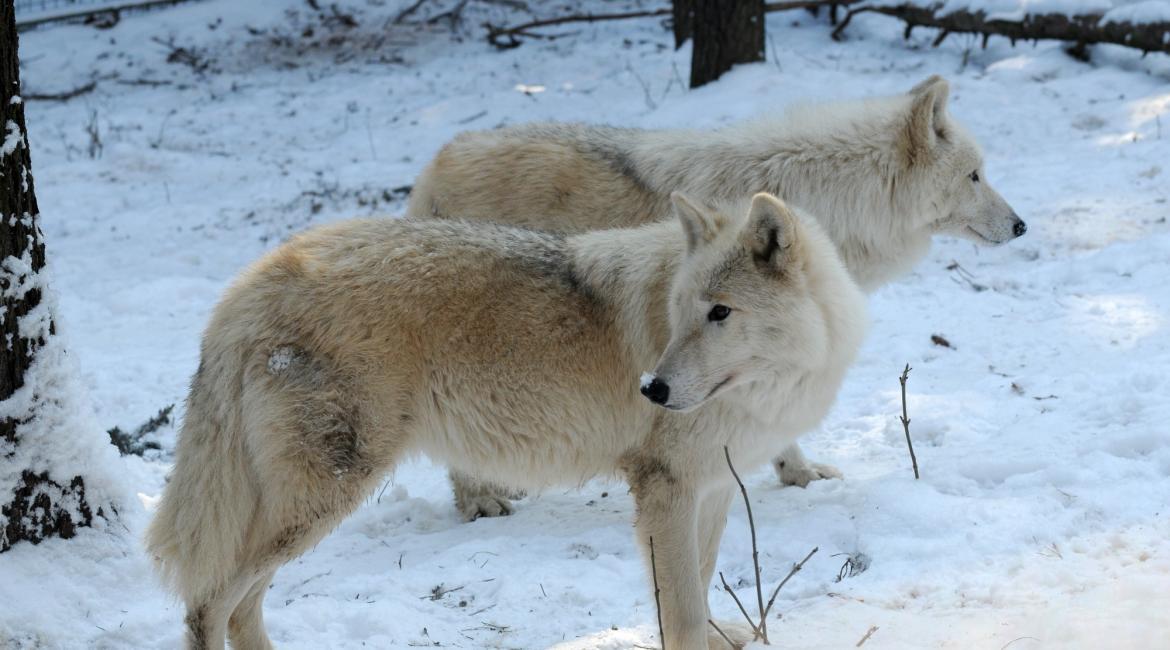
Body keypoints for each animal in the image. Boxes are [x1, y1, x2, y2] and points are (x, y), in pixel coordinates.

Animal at [146, 192, 865, 650]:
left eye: (719, 313)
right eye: (681, 310)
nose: (652, 388)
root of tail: (247, 287)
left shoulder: (710, 490)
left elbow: (700, 591)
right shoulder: (667, 489)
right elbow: (682, 613)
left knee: (242, 610)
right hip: (319, 501)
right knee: (208, 605)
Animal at [409, 74, 1024, 512]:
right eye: (975, 176)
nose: (1021, 226)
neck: (834, 199)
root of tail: (437, 159)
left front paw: (795, 474)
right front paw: (795, 470)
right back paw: (480, 501)